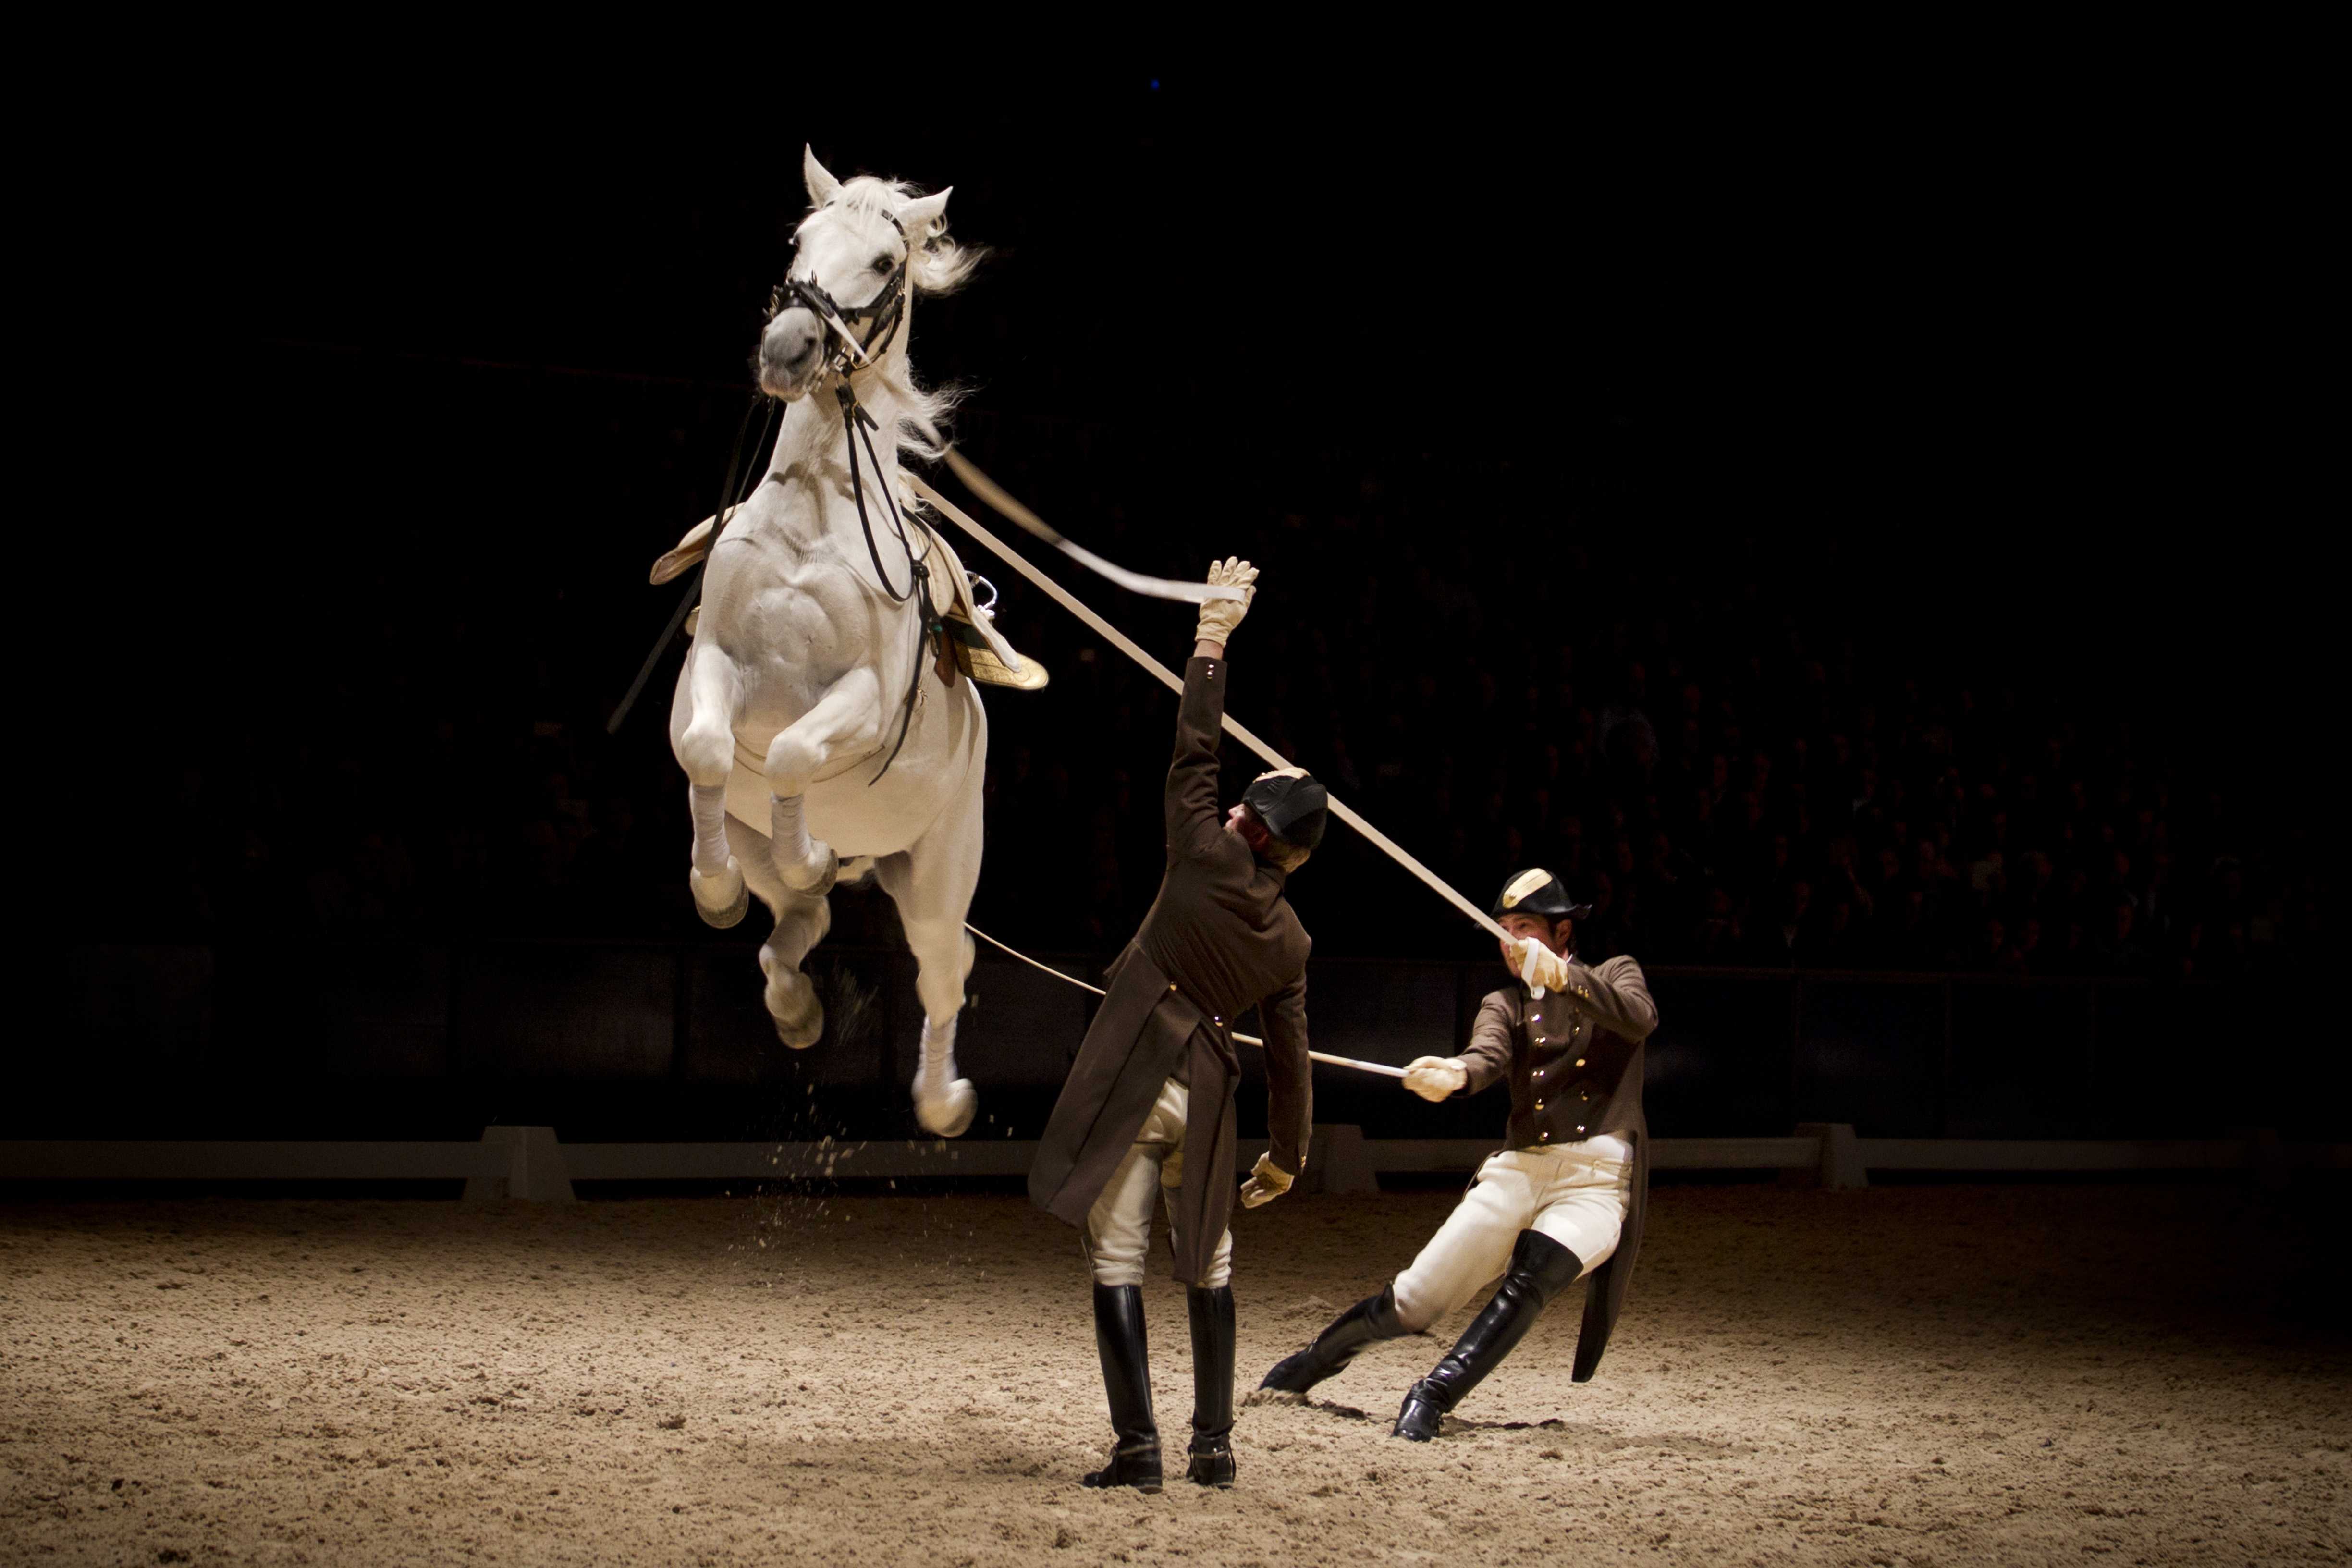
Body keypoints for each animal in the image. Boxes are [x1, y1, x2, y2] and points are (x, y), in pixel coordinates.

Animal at [667, 147, 995, 1137]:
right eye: (800, 240)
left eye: (885, 262)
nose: (787, 349)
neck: (816, 509)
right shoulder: (712, 664)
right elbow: (711, 747)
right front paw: (715, 889)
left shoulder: (863, 699)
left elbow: (791, 749)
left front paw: (809, 844)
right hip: (769, 842)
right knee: (795, 919)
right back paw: (796, 999)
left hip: (936, 881)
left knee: (943, 976)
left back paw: (942, 1099)